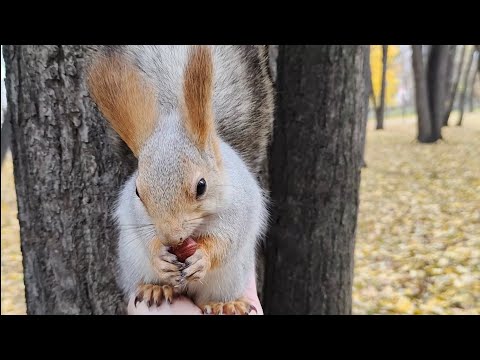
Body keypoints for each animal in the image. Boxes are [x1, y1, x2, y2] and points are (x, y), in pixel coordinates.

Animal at [86, 45, 274, 316]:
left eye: (201, 186)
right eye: (138, 192)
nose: (171, 239)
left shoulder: (239, 207)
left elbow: (226, 240)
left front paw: (203, 258)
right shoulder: (135, 212)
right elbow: (145, 234)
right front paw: (159, 255)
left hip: (230, 277)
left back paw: (224, 304)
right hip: (132, 263)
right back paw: (155, 288)